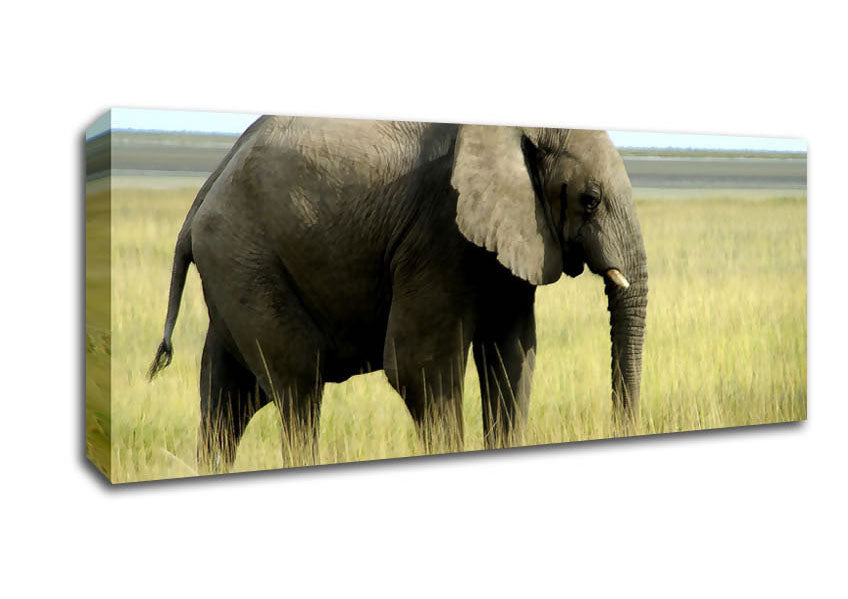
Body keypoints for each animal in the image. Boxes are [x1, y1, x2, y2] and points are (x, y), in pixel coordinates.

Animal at [148, 116, 648, 470]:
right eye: (590, 200)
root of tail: (202, 195)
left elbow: (512, 355)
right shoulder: (438, 229)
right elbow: (420, 367)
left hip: (235, 270)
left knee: (228, 394)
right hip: (244, 259)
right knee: (297, 385)